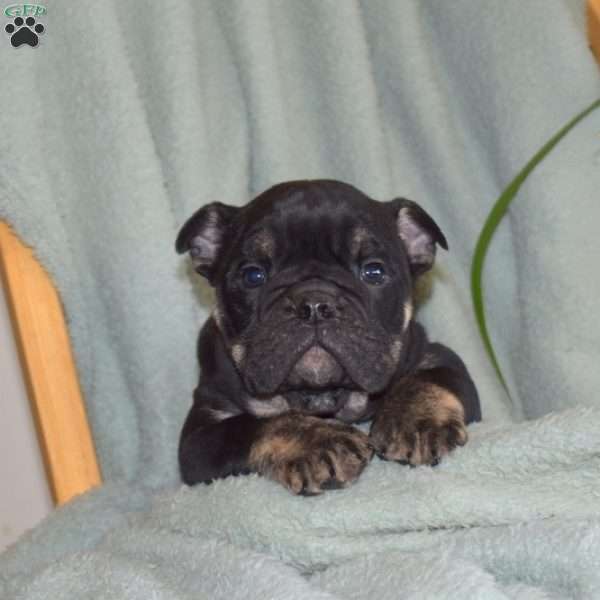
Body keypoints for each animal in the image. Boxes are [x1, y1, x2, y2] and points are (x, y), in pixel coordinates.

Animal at [176, 179, 480, 496]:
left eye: (373, 271)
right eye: (252, 275)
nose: (314, 303)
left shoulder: (434, 355)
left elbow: (427, 379)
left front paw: (414, 419)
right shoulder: (202, 434)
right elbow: (252, 425)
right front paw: (318, 442)